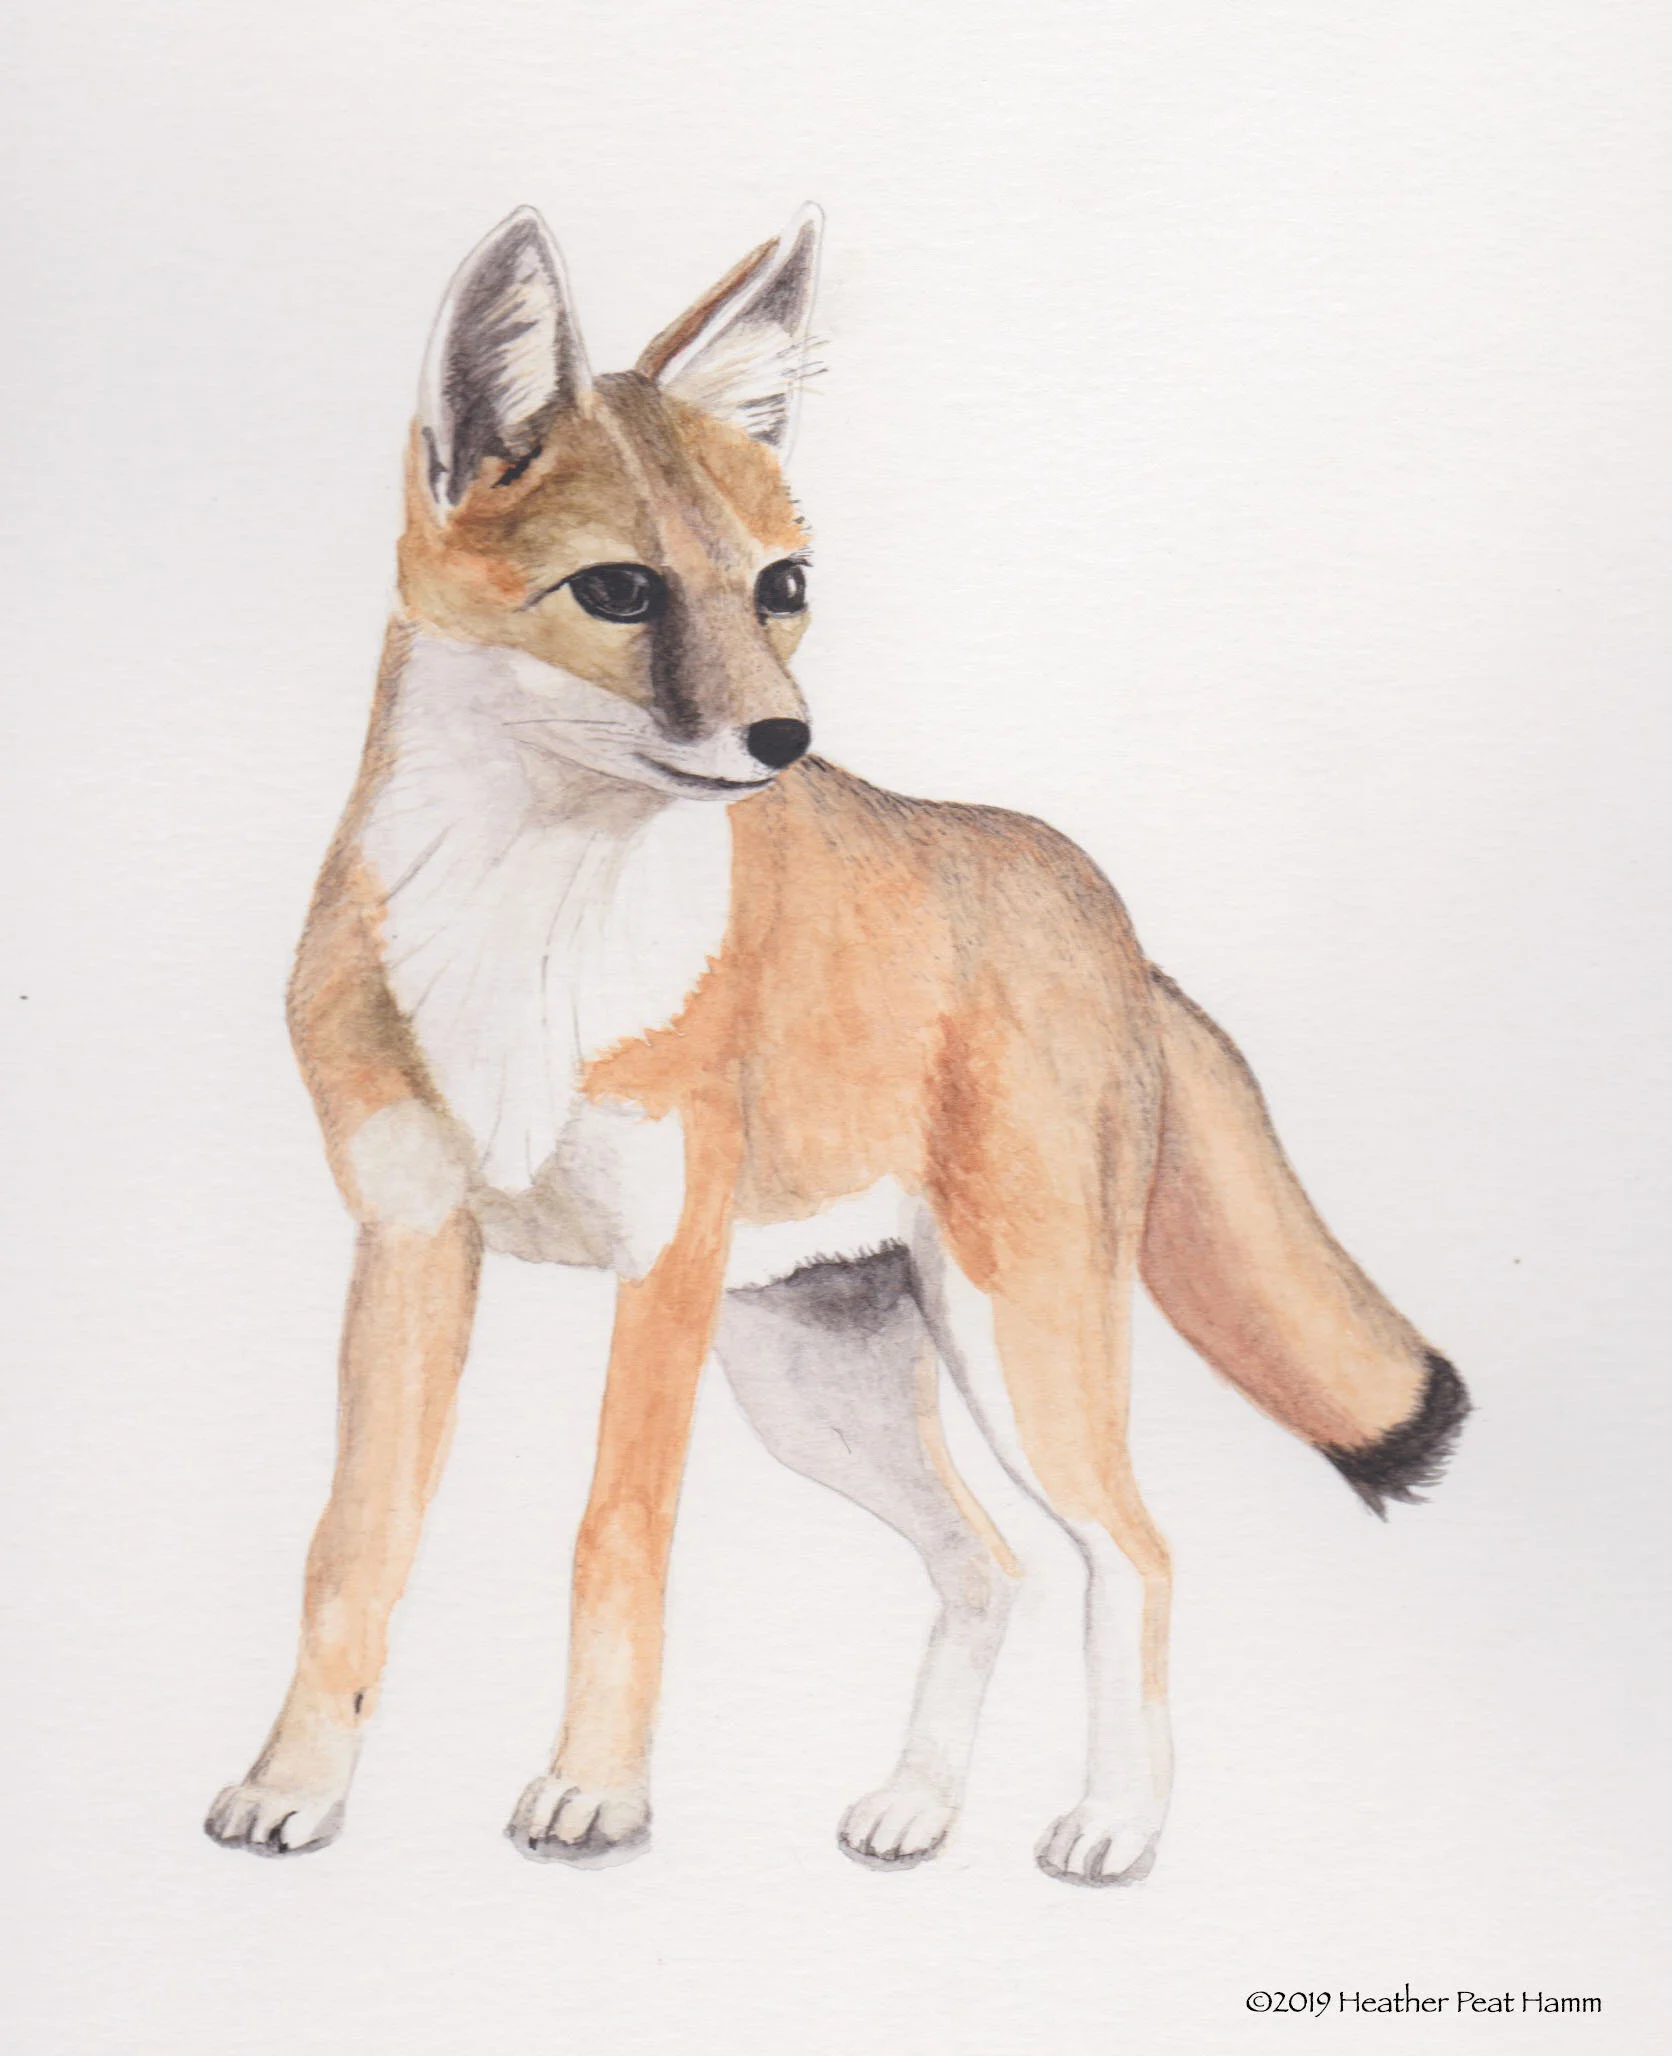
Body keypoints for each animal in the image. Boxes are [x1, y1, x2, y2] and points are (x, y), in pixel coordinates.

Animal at [204, 203, 1469, 1886]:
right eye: (622, 594)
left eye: (782, 585)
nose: (787, 744)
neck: (523, 939)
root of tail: (1106, 914)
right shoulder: (410, 1243)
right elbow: (354, 1549)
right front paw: (297, 1786)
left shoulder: (658, 1269)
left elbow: (616, 1539)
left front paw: (594, 1793)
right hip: (815, 1384)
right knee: (989, 1561)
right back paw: (918, 1806)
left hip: (1014, 1345)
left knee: (1130, 1550)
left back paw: (1117, 1822)